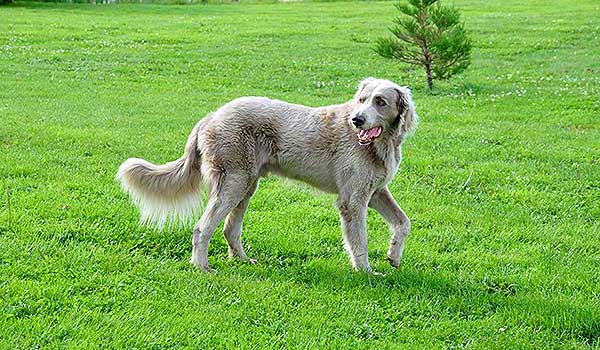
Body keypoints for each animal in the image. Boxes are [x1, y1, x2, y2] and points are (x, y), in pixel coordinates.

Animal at [116, 78, 418, 274]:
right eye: (361, 100)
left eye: (380, 102)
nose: (357, 120)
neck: (380, 143)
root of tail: (210, 117)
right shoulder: (353, 200)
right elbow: (360, 242)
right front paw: (366, 272)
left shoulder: (375, 192)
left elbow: (403, 222)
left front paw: (393, 256)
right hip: (233, 183)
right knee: (203, 228)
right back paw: (202, 266)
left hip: (245, 185)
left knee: (229, 229)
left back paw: (241, 260)